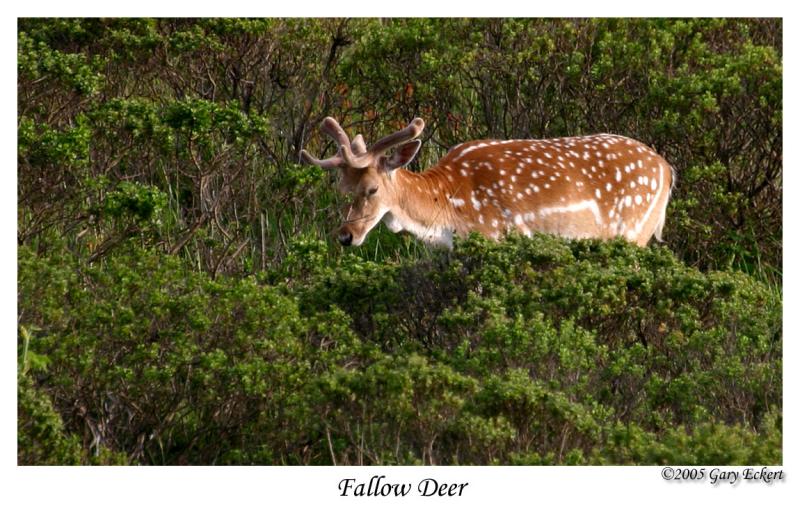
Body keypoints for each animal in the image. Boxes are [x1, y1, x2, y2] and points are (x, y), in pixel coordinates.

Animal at [300, 117, 676, 250]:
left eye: (373, 189)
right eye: (341, 189)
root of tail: (668, 170)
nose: (345, 236)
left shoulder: (494, 235)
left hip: (634, 229)